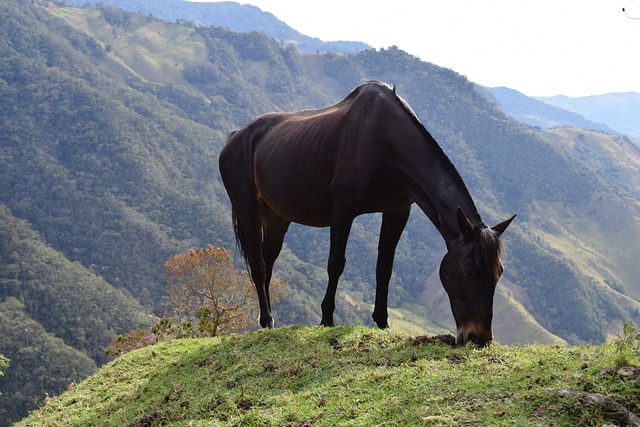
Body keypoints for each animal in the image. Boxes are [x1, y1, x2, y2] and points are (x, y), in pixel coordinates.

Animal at [219, 80, 516, 346]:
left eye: (499, 272)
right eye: (468, 270)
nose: (479, 338)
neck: (385, 140)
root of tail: (235, 136)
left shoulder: (397, 211)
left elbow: (384, 267)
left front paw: (382, 322)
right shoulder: (343, 211)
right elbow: (335, 264)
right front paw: (327, 320)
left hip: (277, 217)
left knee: (268, 263)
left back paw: (269, 319)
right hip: (248, 210)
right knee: (258, 265)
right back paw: (267, 320)